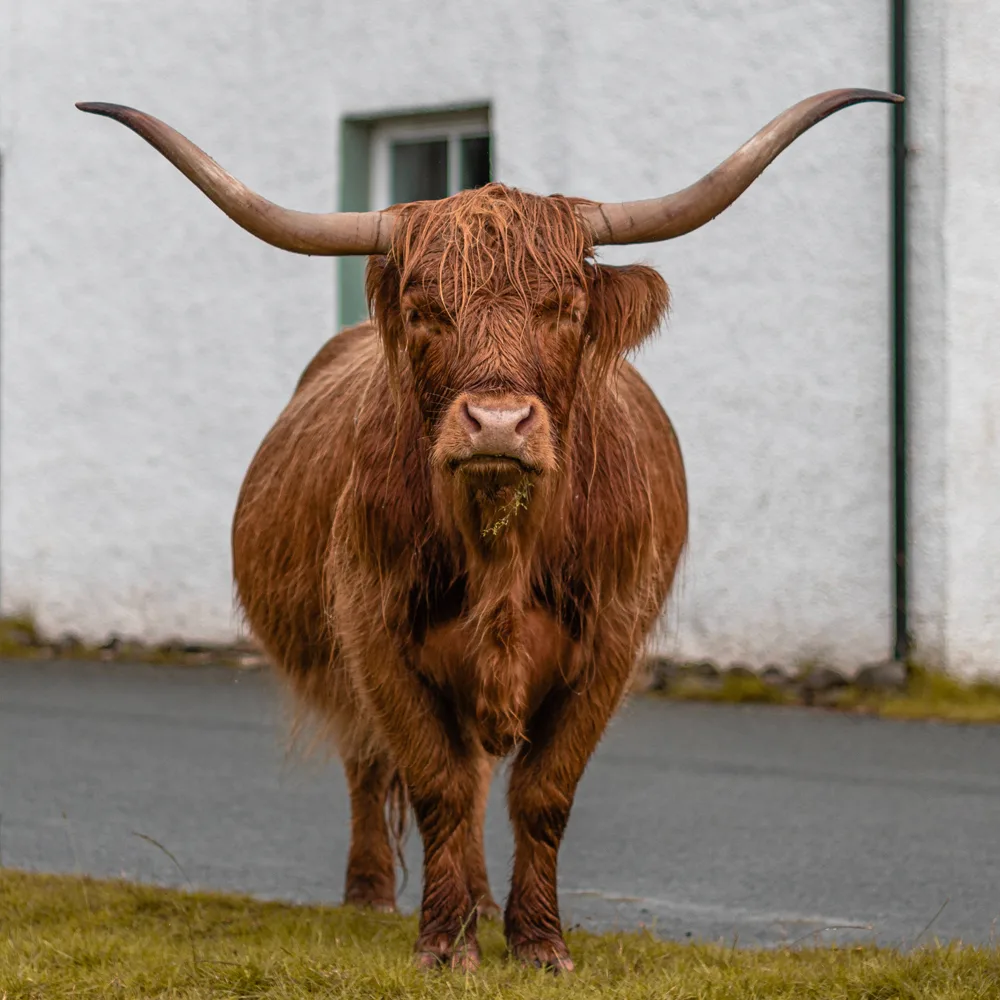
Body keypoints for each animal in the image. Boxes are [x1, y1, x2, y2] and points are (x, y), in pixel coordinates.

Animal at [78, 90, 900, 972]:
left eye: (565, 309)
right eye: (424, 311)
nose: (498, 423)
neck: (502, 547)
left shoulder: (610, 642)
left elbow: (544, 792)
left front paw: (539, 942)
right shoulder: (373, 632)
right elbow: (437, 784)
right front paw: (445, 944)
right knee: (382, 766)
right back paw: (378, 896)